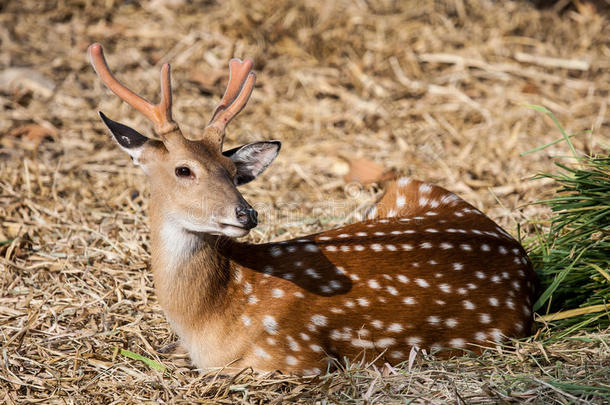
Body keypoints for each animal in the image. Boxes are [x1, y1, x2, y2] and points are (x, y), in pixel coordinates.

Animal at [88, 42, 536, 374]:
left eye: (233, 171)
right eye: (183, 169)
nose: (246, 214)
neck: (212, 319)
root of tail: (520, 258)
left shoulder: (295, 356)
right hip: (406, 188)